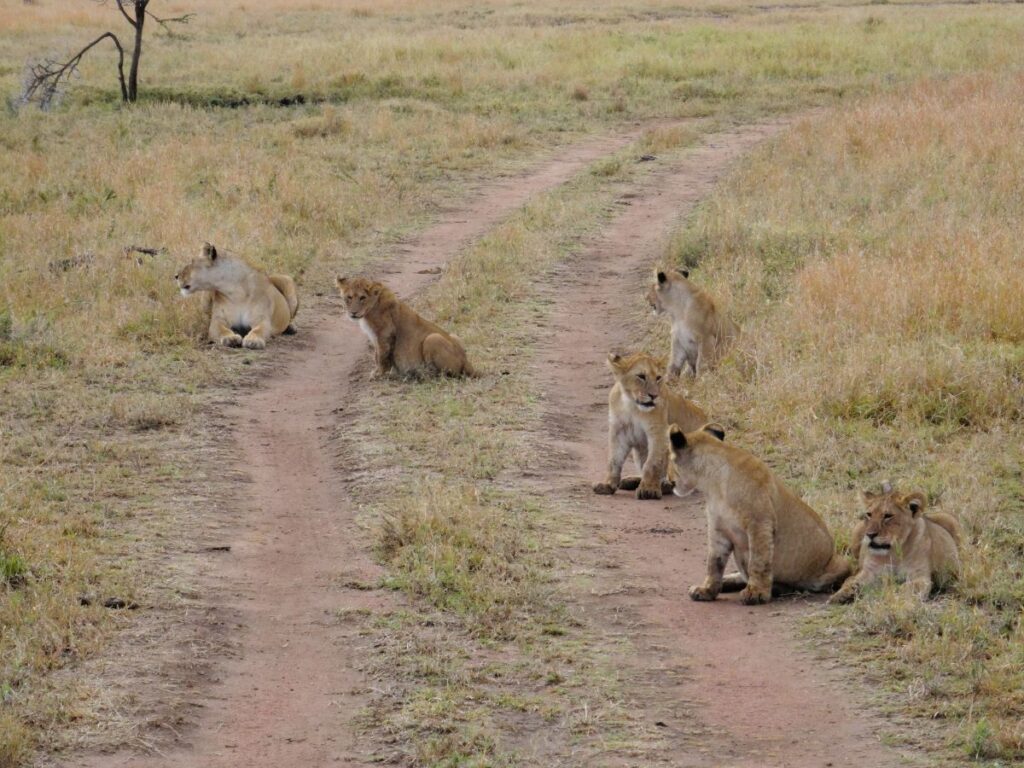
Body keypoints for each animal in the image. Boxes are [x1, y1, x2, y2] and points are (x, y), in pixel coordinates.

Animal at [336, 276, 477, 378]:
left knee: (448, 374)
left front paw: (379, 374)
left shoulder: (384, 334)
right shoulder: (376, 338)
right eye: (349, 297)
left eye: (362, 297)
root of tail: (466, 361)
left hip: (433, 338)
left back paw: (420, 374)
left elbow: (381, 356)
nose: (353, 313)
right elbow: (377, 355)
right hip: (454, 336)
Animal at [593, 352, 708, 500]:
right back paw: (629, 481)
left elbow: (652, 463)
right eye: (641, 376)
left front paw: (649, 490)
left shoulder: (659, 431)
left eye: (658, 378)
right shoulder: (618, 431)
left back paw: (665, 485)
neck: (631, 405)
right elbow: (614, 460)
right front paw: (607, 485)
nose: (654, 395)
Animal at [667, 423, 851, 605]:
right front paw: (707, 590)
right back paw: (729, 581)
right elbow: (714, 563)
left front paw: (756, 593)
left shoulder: (760, 524)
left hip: (836, 566)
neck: (714, 484)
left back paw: (778, 587)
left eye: (670, 460)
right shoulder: (718, 529)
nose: (668, 480)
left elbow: (758, 561)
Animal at [828, 485, 961, 604]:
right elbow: (853, 582)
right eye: (869, 514)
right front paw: (841, 595)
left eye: (888, 516)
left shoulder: (921, 577)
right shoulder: (870, 571)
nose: (870, 534)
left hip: (949, 519)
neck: (893, 553)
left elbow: (907, 588)